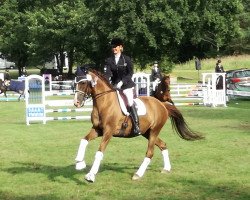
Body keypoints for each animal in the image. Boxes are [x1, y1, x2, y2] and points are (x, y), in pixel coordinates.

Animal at [74, 69, 203, 183]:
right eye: (74, 83)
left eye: (83, 83)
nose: (76, 103)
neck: (105, 102)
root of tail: (162, 104)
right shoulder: (97, 130)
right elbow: (83, 140)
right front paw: (80, 163)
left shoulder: (108, 132)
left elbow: (99, 152)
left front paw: (91, 175)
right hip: (147, 132)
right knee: (163, 145)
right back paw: (166, 168)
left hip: (154, 131)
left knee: (150, 153)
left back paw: (138, 174)